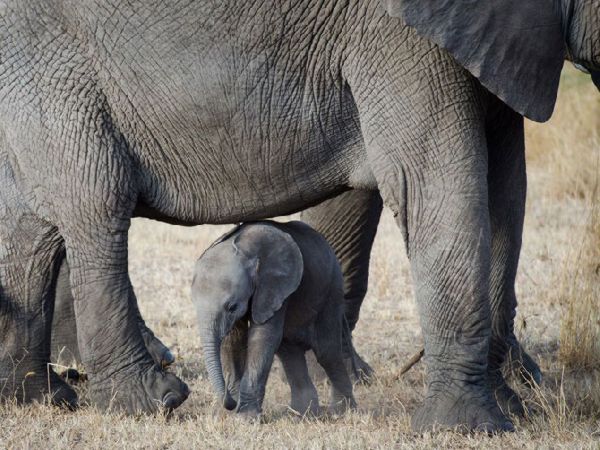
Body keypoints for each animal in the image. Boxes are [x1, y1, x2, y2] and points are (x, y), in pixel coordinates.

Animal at [192, 220, 356, 416]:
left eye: (232, 307)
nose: (230, 402)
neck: (245, 249)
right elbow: (234, 339)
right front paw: (233, 413)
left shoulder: (276, 286)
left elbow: (263, 337)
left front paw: (245, 417)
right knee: (289, 350)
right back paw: (302, 414)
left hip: (331, 289)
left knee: (327, 352)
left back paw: (342, 411)